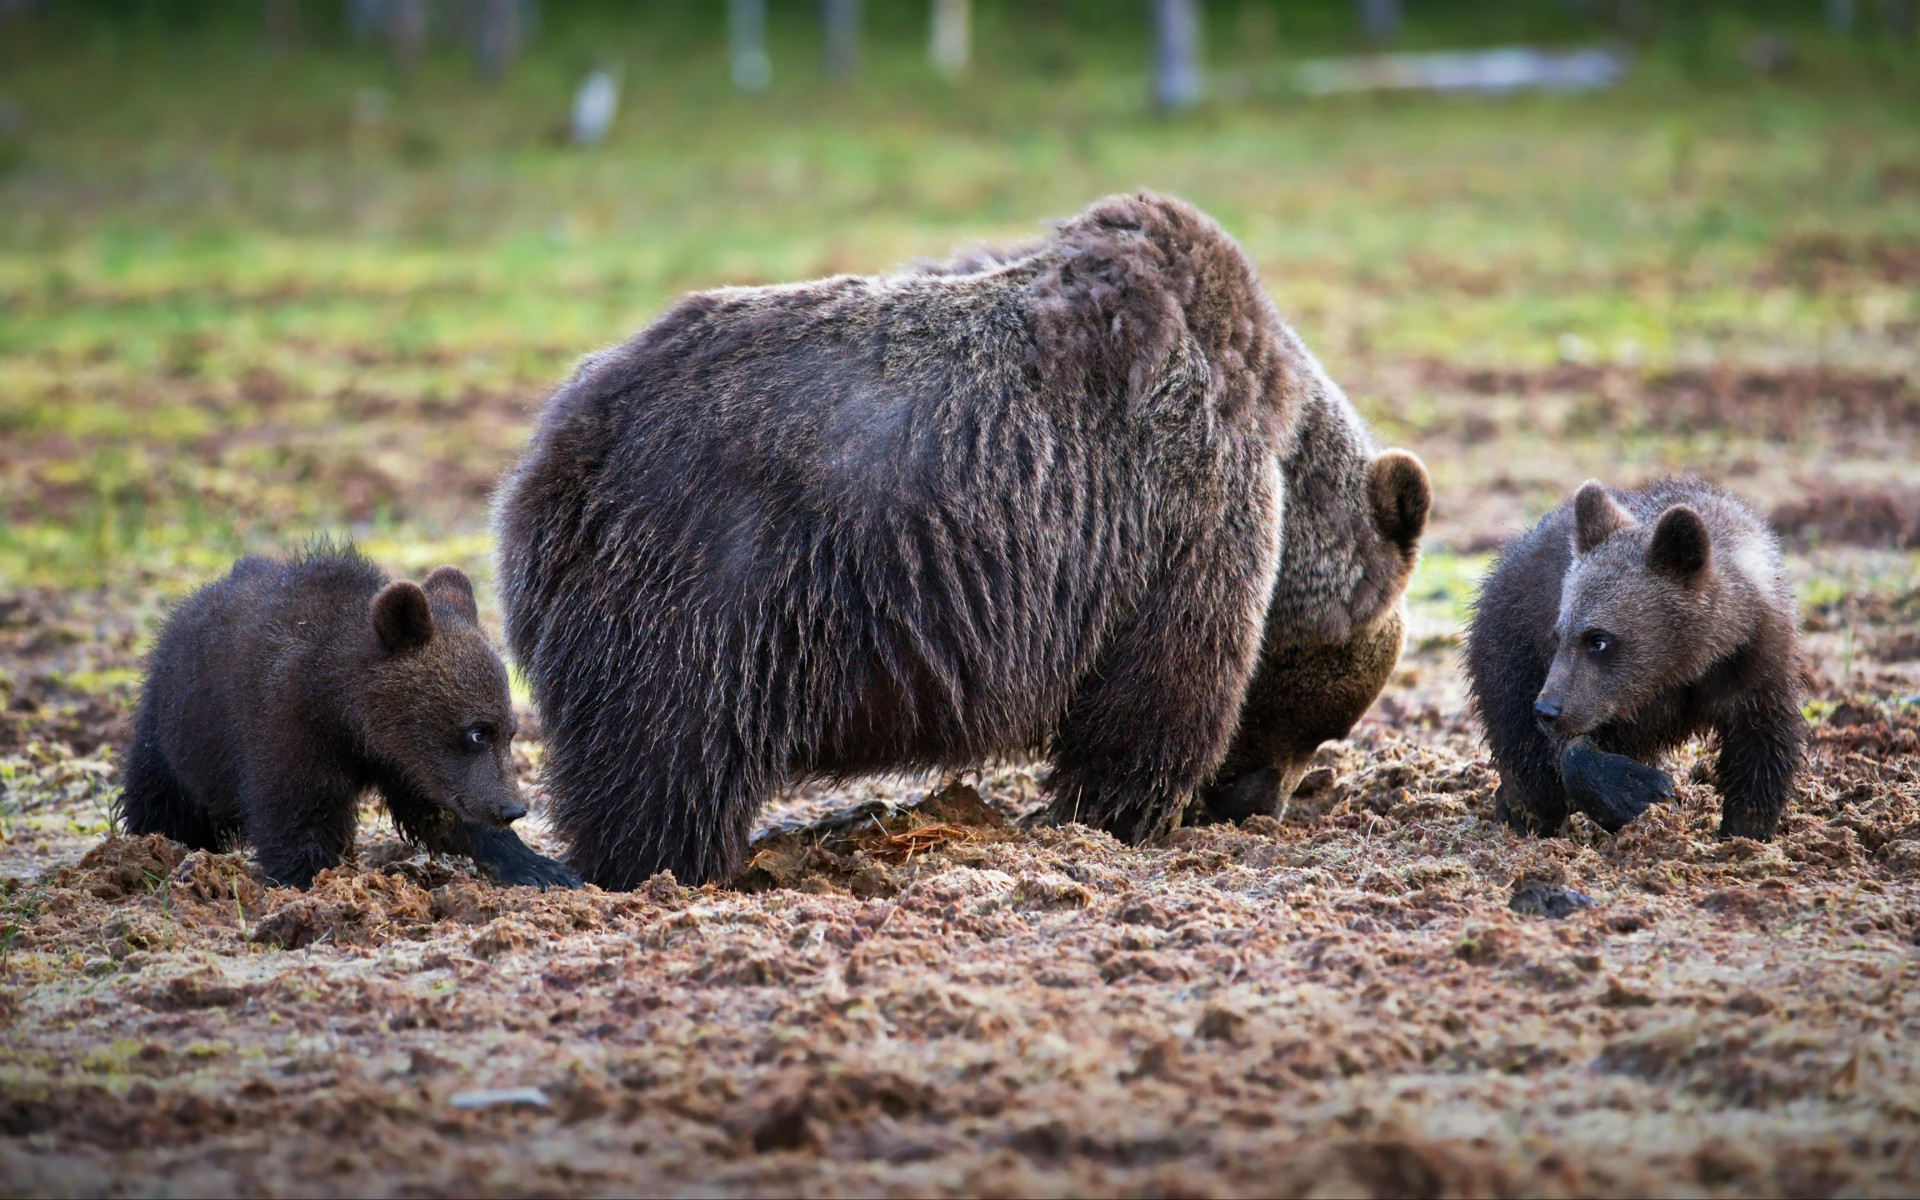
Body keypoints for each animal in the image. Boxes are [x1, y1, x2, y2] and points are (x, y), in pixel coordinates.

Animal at [495, 193, 1428, 890]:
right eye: (1329, 718)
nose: (1260, 802)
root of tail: (554, 448)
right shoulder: (1184, 514)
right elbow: (1160, 691)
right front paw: (1122, 816)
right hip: (707, 582)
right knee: (667, 756)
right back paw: (674, 869)